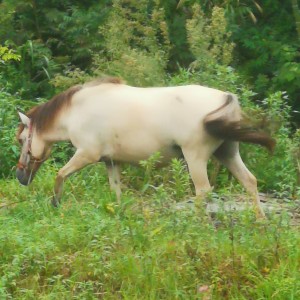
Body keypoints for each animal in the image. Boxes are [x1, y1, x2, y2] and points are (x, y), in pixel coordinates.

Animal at [15, 77, 274, 218]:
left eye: (21, 139)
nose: (20, 176)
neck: (75, 111)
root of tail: (225, 98)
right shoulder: (111, 161)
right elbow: (116, 191)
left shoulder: (87, 154)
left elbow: (60, 175)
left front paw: (55, 204)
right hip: (227, 152)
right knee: (249, 181)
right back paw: (260, 221)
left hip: (195, 158)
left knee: (203, 191)